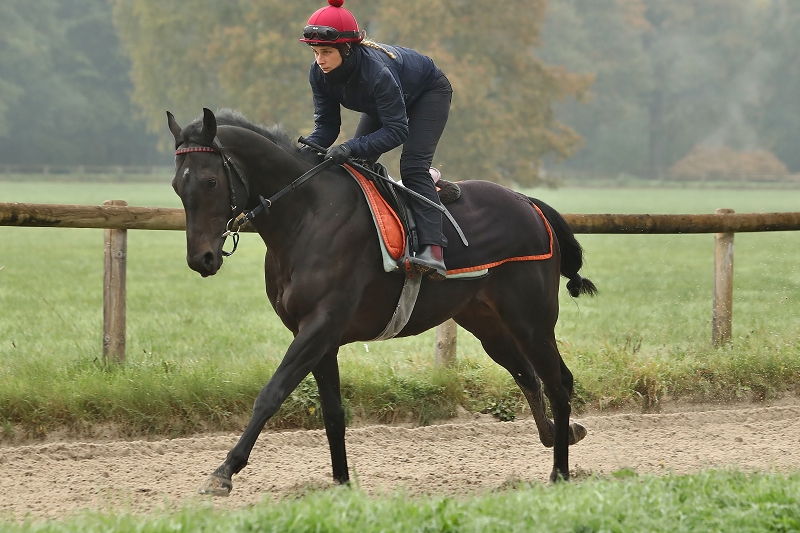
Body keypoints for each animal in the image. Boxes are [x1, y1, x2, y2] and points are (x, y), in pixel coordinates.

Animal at [167, 108, 597, 496]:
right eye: (176, 185)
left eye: (209, 181)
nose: (201, 258)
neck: (307, 214)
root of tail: (529, 203)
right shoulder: (318, 336)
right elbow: (333, 412)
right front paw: (342, 482)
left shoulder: (320, 326)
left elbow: (271, 394)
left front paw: (224, 471)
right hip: (486, 321)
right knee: (528, 374)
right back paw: (558, 434)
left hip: (531, 318)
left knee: (558, 381)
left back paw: (559, 472)